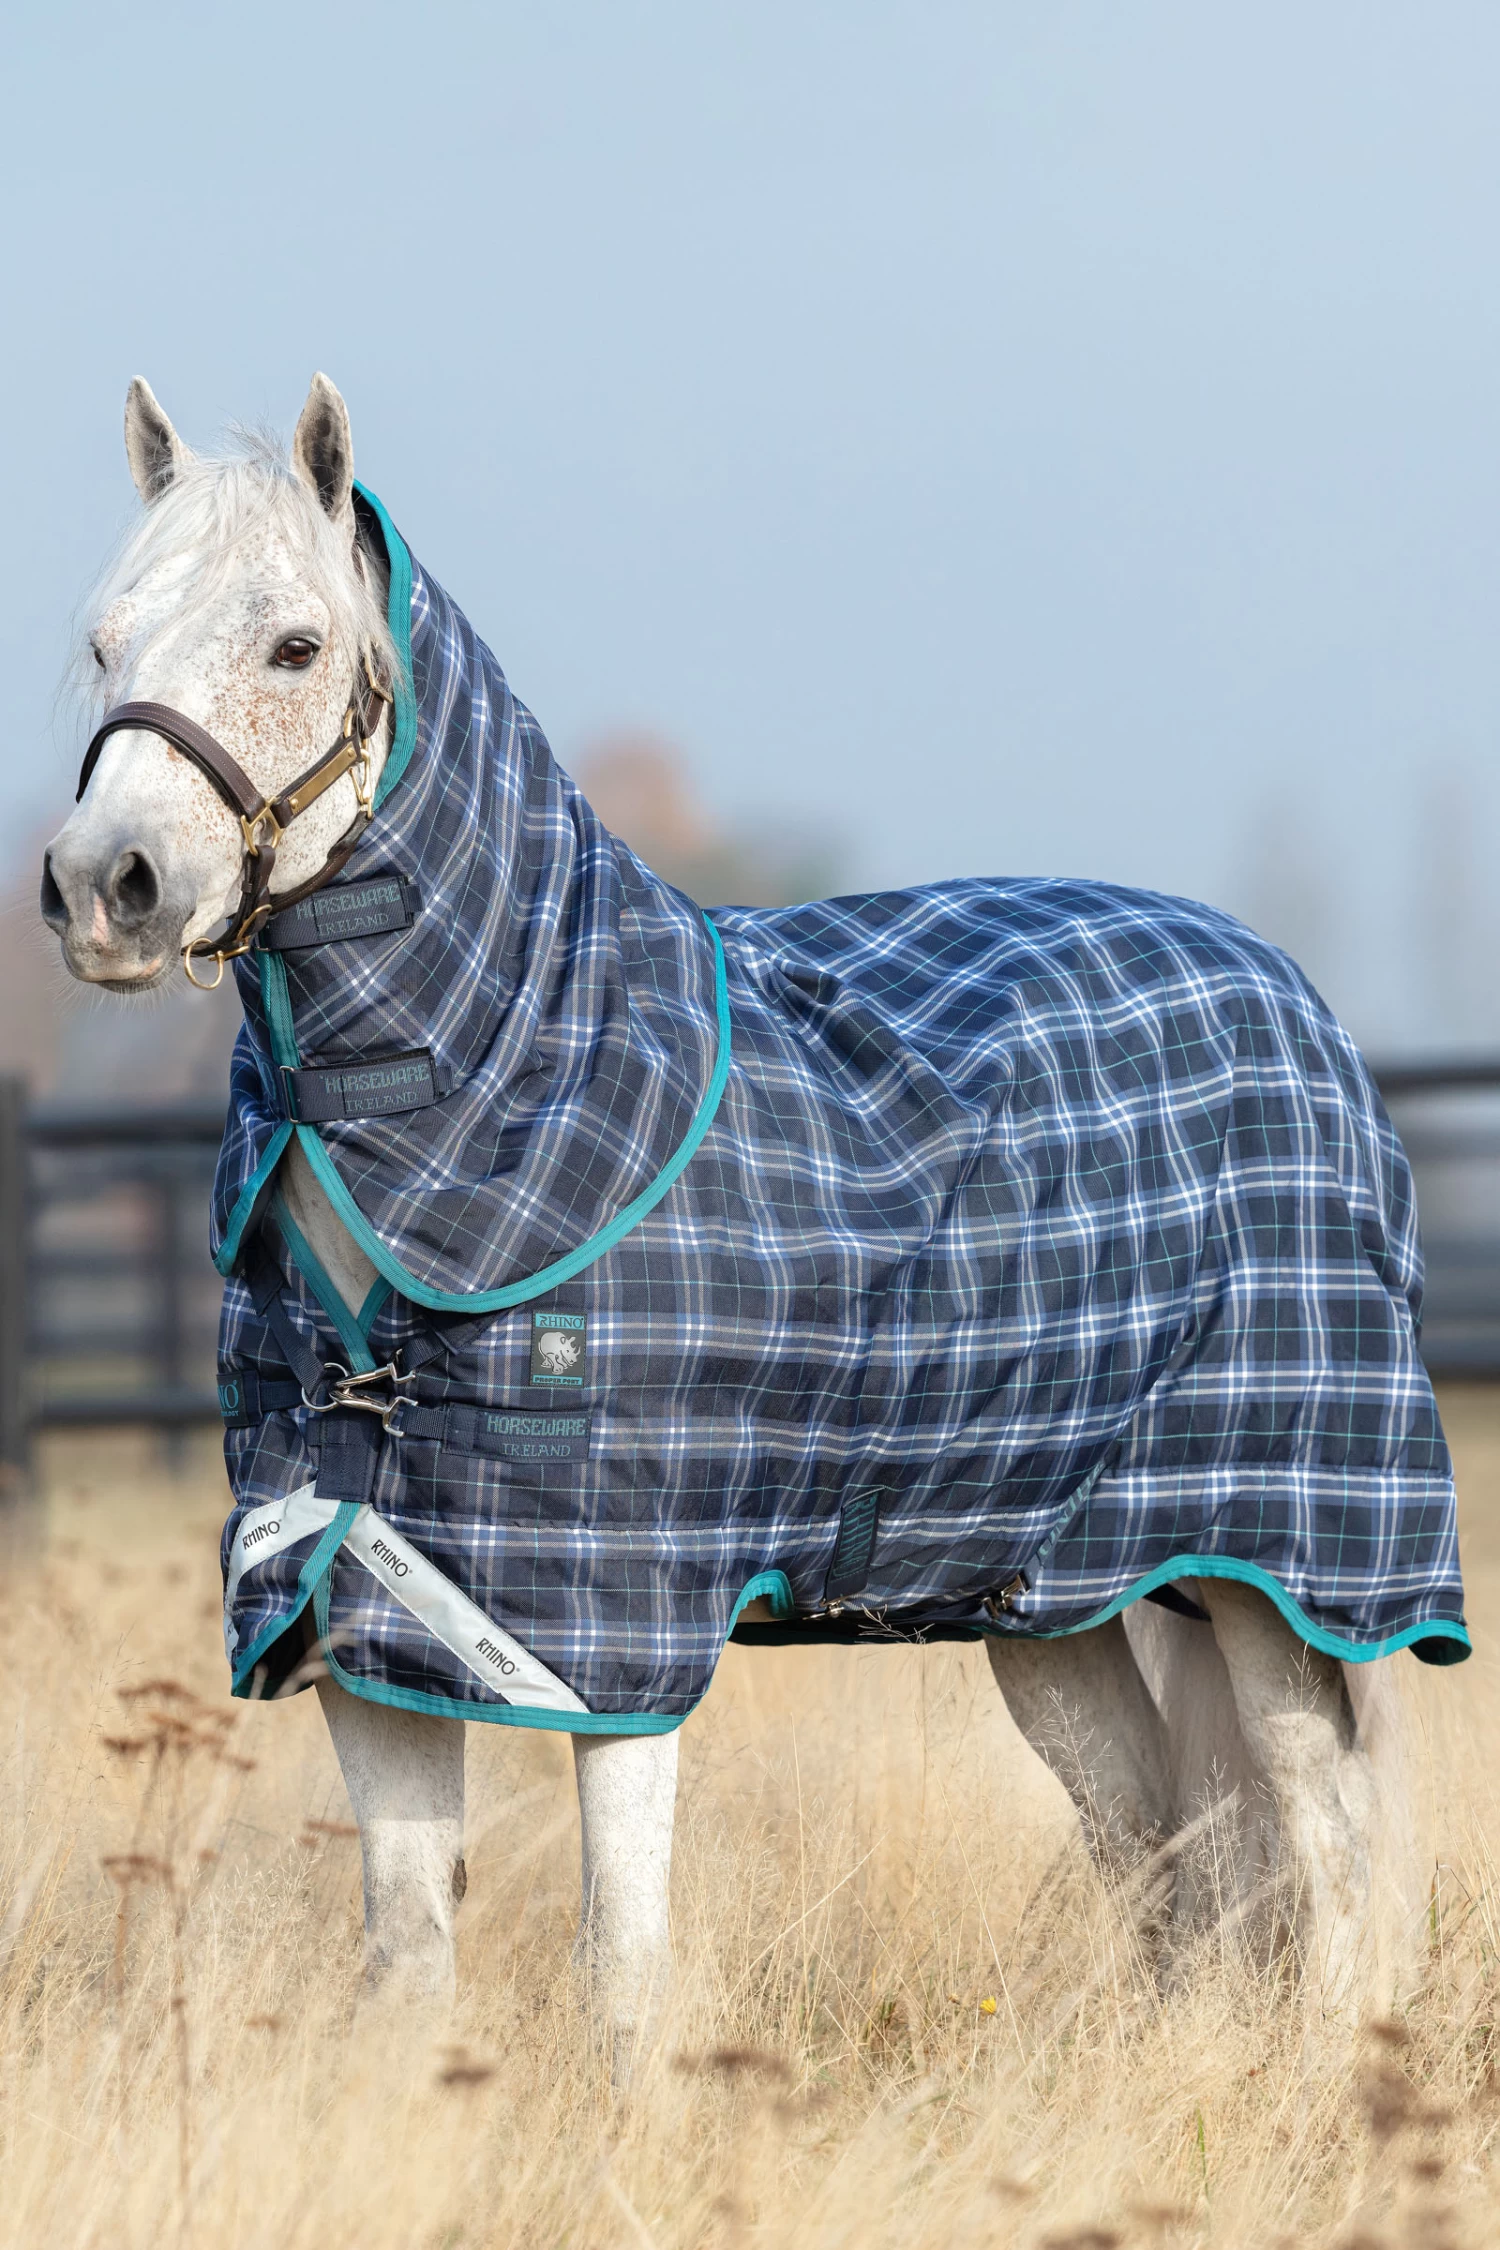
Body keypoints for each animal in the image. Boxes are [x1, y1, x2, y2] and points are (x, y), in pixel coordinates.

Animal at [40, 373, 1453, 2066]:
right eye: (106, 642)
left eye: (295, 647)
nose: (102, 886)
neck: (526, 1079)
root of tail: (1289, 997)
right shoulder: (358, 1597)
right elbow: (409, 1950)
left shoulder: (610, 1637)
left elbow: (621, 1962)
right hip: (1062, 1598)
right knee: (1169, 1851)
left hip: (1279, 1577)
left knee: (1328, 1842)